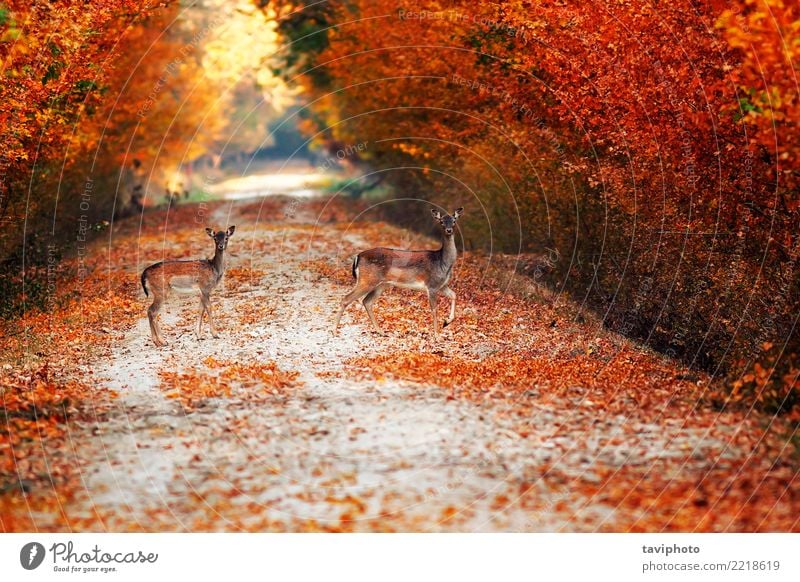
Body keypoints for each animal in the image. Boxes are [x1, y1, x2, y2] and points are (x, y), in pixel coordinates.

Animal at [334, 208, 466, 340]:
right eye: (442, 222)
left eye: (454, 221)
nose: (449, 230)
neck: (442, 263)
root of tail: (358, 257)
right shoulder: (432, 285)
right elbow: (434, 310)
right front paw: (437, 336)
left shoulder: (442, 285)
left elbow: (454, 295)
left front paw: (446, 322)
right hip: (367, 280)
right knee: (346, 299)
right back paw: (334, 330)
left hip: (381, 284)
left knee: (367, 302)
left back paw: (381, 331)